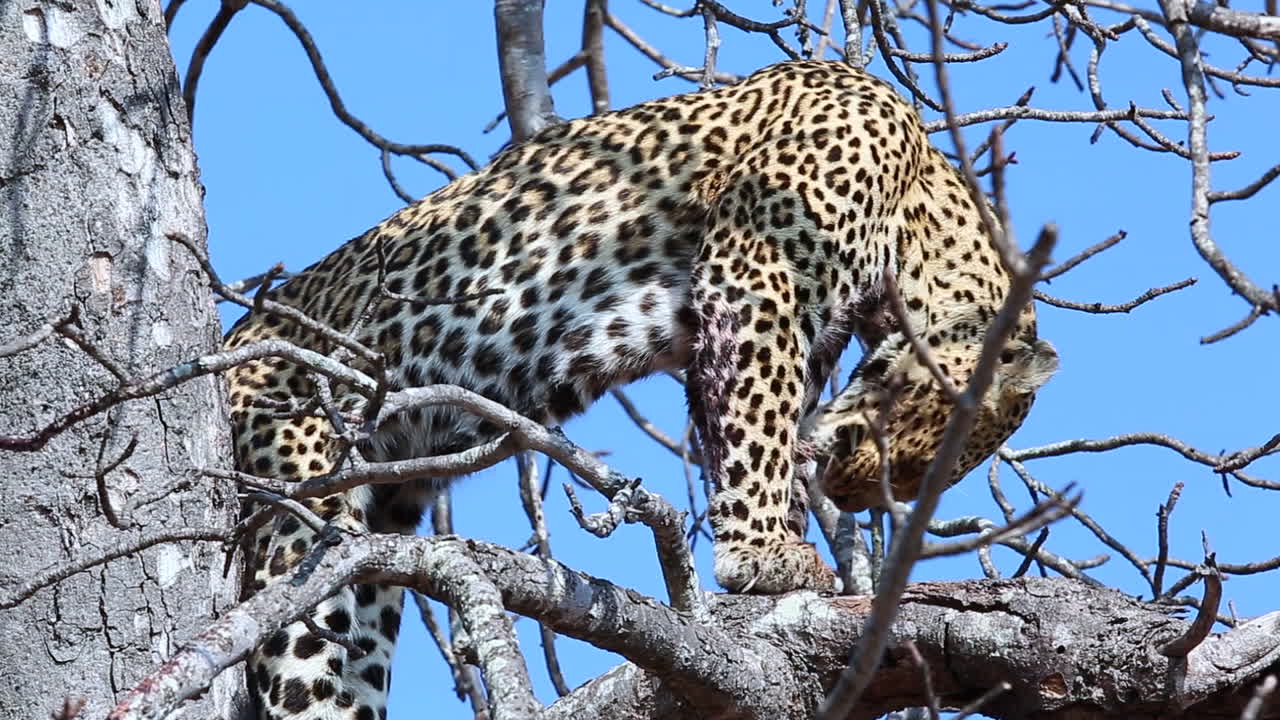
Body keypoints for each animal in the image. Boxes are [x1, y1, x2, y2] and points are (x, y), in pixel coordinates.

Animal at [223, 60, 1058, 720]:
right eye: (928, 455)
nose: (852, 497)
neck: (922, 205)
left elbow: (751, 432)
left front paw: (774, 546)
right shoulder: (756, 272)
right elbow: (762, 424)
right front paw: (763, 558)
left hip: (377, 535)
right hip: (300, 493)